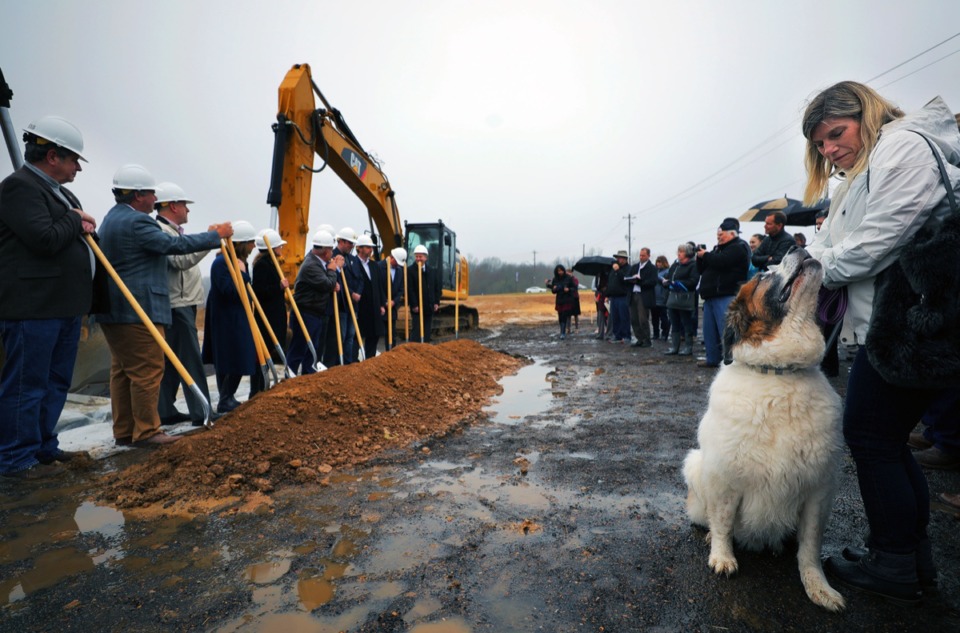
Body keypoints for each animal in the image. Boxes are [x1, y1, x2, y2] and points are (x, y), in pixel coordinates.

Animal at [684, 246, 848, 608]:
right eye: (762, 276)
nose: (798, 247)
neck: (780, 373)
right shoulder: (726, 479)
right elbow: (723, 522)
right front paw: (722, 557)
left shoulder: (819, 489)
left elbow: (810, 547)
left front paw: (818, 587)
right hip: (695, 463)